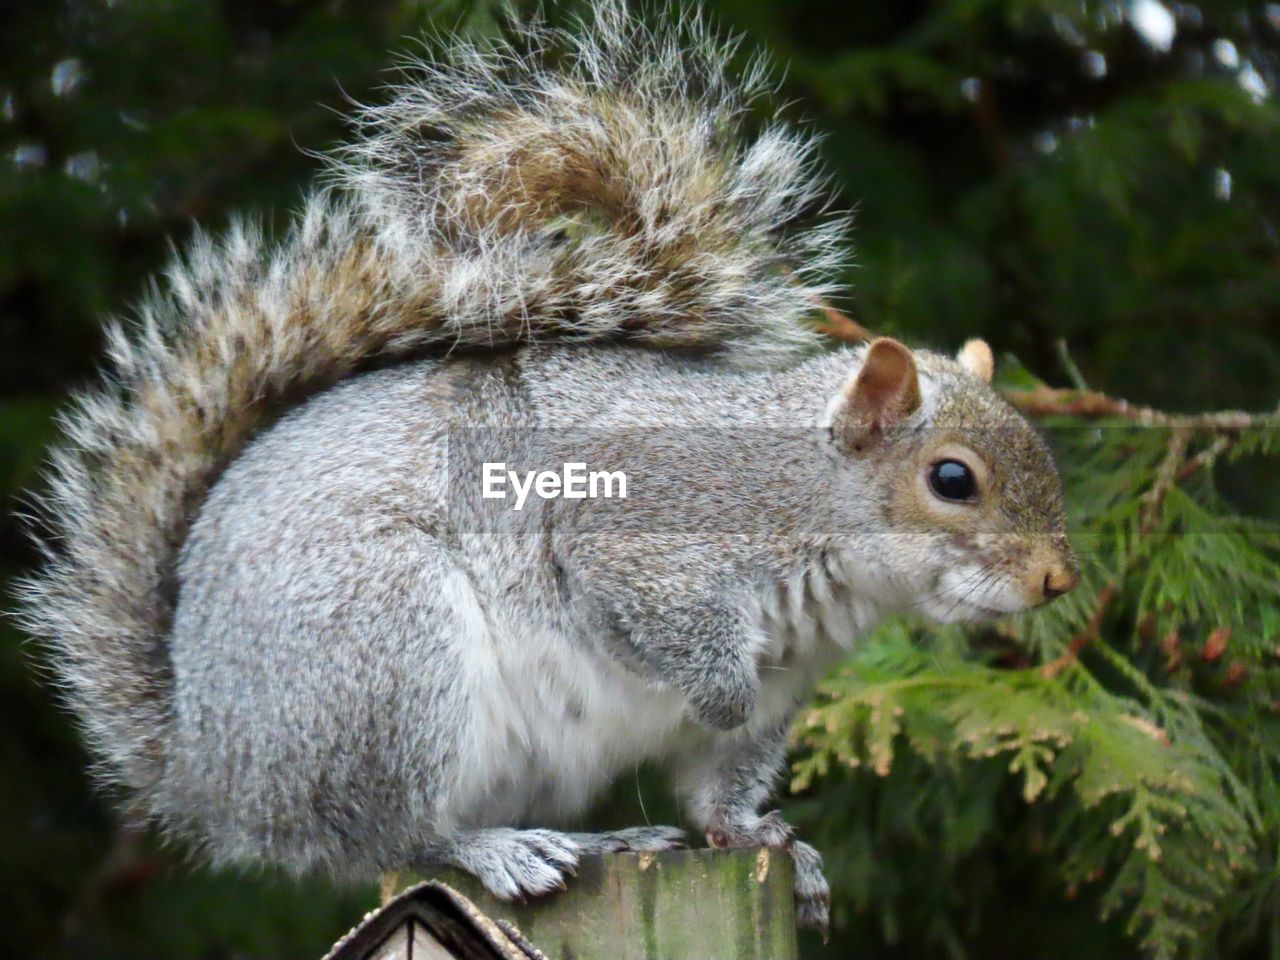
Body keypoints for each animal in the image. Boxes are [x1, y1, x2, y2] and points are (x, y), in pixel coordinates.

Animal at [17, 0, 1080, 931]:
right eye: (953, 479)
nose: (1056, 579)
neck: (805, 508)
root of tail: (210, 764)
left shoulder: (787, 693)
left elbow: (724, 795)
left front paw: (775, 844)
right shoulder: (643, 533)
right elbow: (664, 631)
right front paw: (714, 689)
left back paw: (604, 841)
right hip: (381, 654)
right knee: (384, 835)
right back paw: (493, 849)